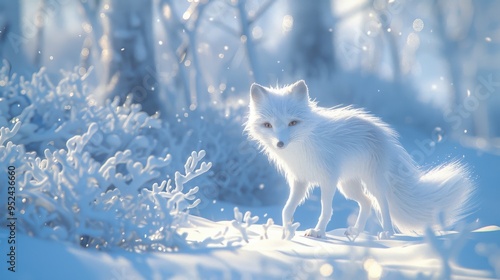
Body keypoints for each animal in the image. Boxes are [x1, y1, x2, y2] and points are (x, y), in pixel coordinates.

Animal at [246, 80, 476, 240]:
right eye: (268, 125)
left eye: (293, 123)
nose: (280, 143)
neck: (303, 146)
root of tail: (384, 134)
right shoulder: (300, 181)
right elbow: (286, 210)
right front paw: (287, 233)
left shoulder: (327, 180)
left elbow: (326, 209)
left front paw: (318, 232)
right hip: (348, 186)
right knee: (366, 202)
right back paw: (356, 231)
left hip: (369, 183)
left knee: (381, 204)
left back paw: (387, 233)